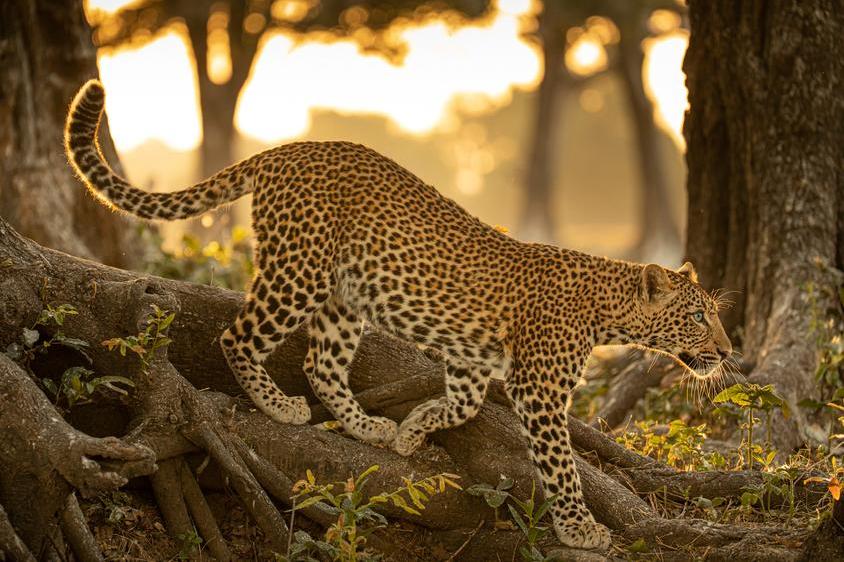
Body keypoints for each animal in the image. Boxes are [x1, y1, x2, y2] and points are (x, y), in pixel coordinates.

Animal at [65, 80, 732, 551]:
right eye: (699, 318)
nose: (728, 352)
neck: (607, 310)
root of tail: (285, 150)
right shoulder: (539, 389)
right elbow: (561, 465)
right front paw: (581, 529)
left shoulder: (471, 361)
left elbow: (462, 404)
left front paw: (414, 429)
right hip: (300, 270)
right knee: (239, 336)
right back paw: (277, 407)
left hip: (344, 297)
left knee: (321, 362)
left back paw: (368, 427)